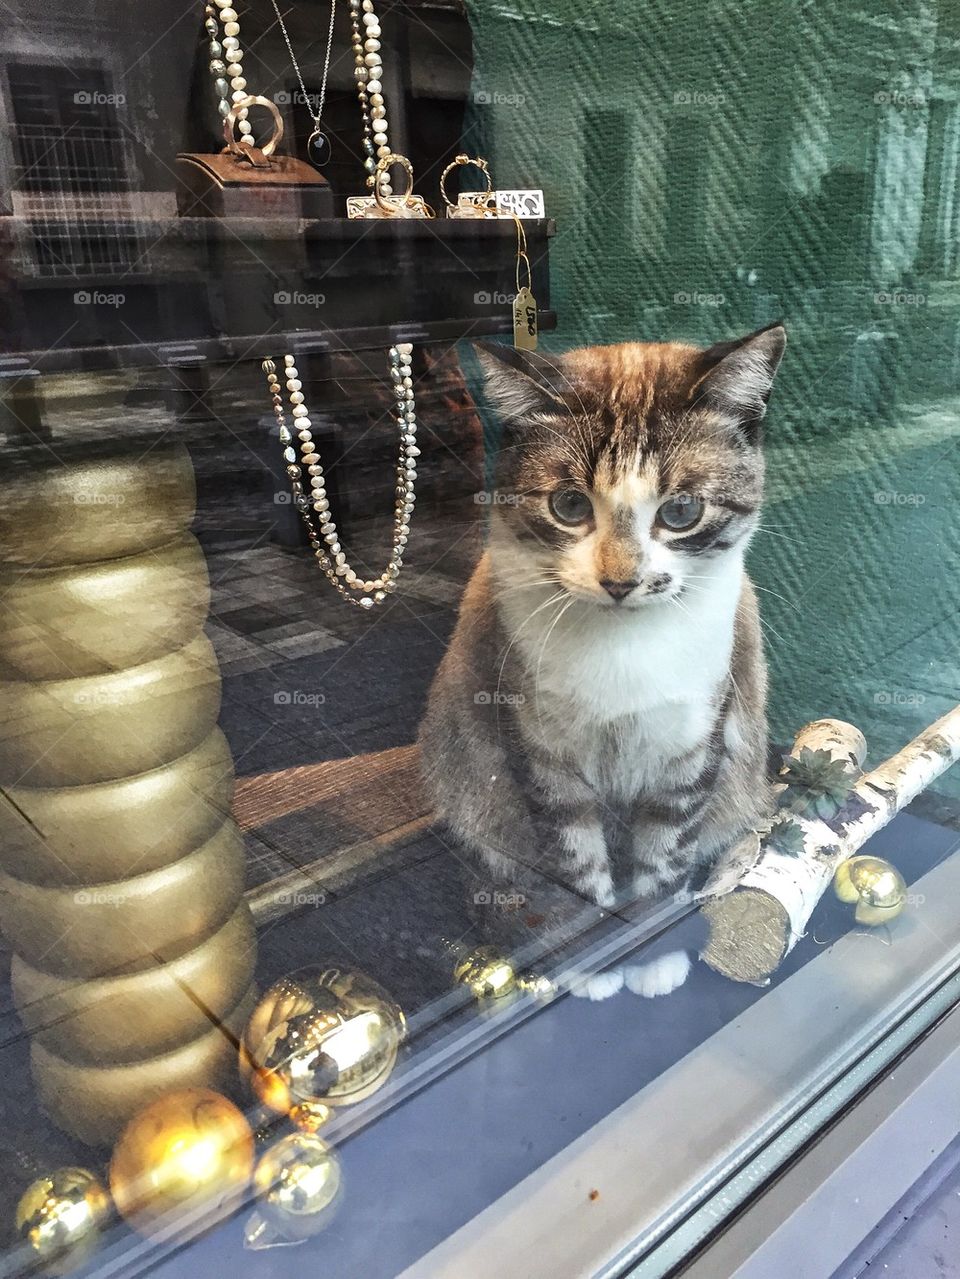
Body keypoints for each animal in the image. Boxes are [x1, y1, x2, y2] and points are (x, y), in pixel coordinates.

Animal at [421, 324, 787, 982]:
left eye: (681, 511)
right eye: (568, 506)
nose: (620, 582)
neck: (624, 644)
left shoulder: (692, 745)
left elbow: (666, 854)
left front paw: (651, 955)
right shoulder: (539, 750)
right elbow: (577, 865)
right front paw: (590, 960)